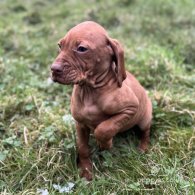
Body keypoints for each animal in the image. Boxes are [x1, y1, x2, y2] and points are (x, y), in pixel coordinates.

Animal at [50, 21, 152, 180]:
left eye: (81, 49)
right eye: (60, 46)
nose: (53, 69)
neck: (90, 91)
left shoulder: (131, 108)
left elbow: (104, 128)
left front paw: (105, 144)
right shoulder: (80, 124)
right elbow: (83, 148)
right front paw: (86, 171)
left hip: (144, 118)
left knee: (145, 132)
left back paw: (143, 148)